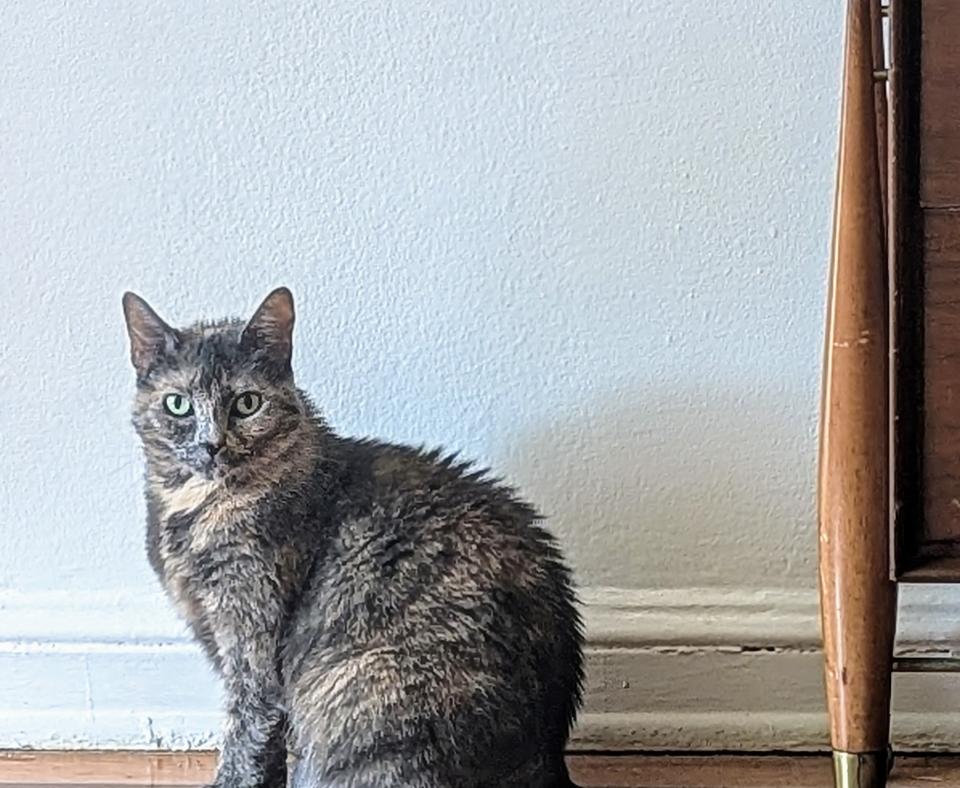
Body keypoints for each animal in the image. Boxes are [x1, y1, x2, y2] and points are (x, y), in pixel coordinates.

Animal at [120, 288, 584, 788]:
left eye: (247, 404)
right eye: (178, 404)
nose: (212, 445)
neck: (193, 507)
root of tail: (548, 757)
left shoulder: (252, 646)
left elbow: (244, 741)